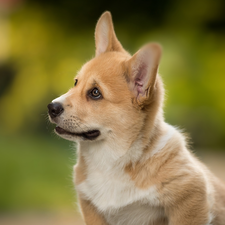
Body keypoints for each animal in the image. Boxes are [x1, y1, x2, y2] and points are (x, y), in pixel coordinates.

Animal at [47, 11, 225, 225]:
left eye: (95, 93)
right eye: (75, 82)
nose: (51, 107)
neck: (111, 159)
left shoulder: (191, 198)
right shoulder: (90, 206)